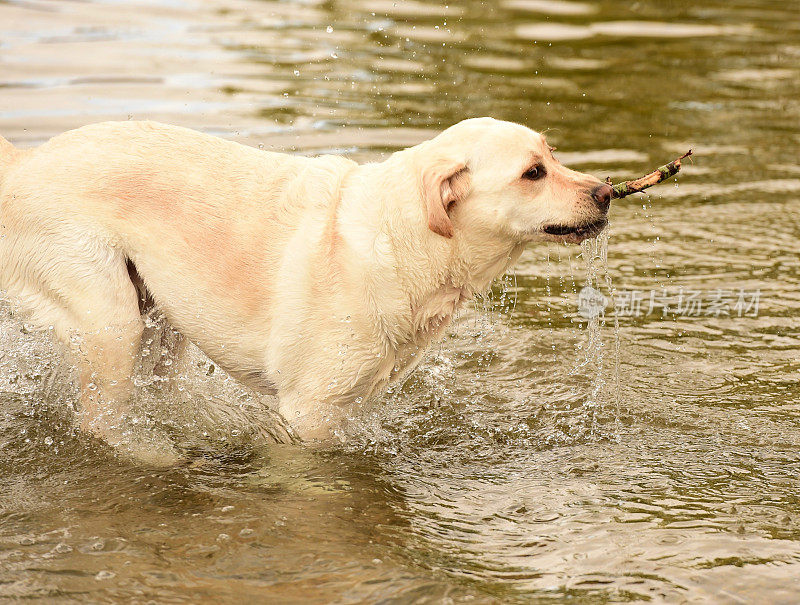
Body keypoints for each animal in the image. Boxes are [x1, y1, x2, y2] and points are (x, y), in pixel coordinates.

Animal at [1, 118, 612, 448]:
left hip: (160, 322)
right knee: (98, 422)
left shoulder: (349, 405)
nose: (606, 191)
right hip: (110, 319)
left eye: (553, 156)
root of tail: (26, 161)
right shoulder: (309, 414)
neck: (407, 239)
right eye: (533, 173)